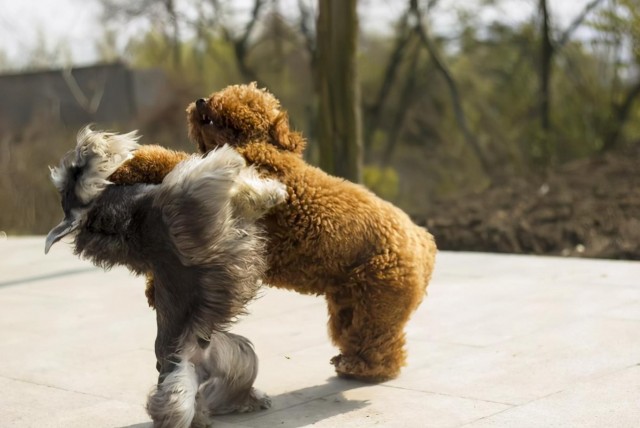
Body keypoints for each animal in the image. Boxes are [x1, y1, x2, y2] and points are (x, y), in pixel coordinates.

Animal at [45, 127, 284, 428]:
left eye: (74, 172)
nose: (89, 140)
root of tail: (196, 362)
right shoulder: (186, 197)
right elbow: (221, 170)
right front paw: (270, 190)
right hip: (181, 388)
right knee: (176, 409)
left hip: (240, 357)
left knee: (223, 393)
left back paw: (244, 402)